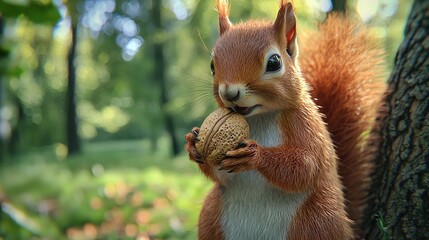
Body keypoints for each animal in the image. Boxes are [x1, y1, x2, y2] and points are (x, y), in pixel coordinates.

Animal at [184, 0, 384, 239]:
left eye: (274, 62)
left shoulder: (305, 124)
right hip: (211, 216)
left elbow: (306, 164)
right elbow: (219, 174)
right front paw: (192, 142)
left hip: (318, 221)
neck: (257, 117)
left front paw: (255, 155)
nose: (229, 93)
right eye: (212, 65)